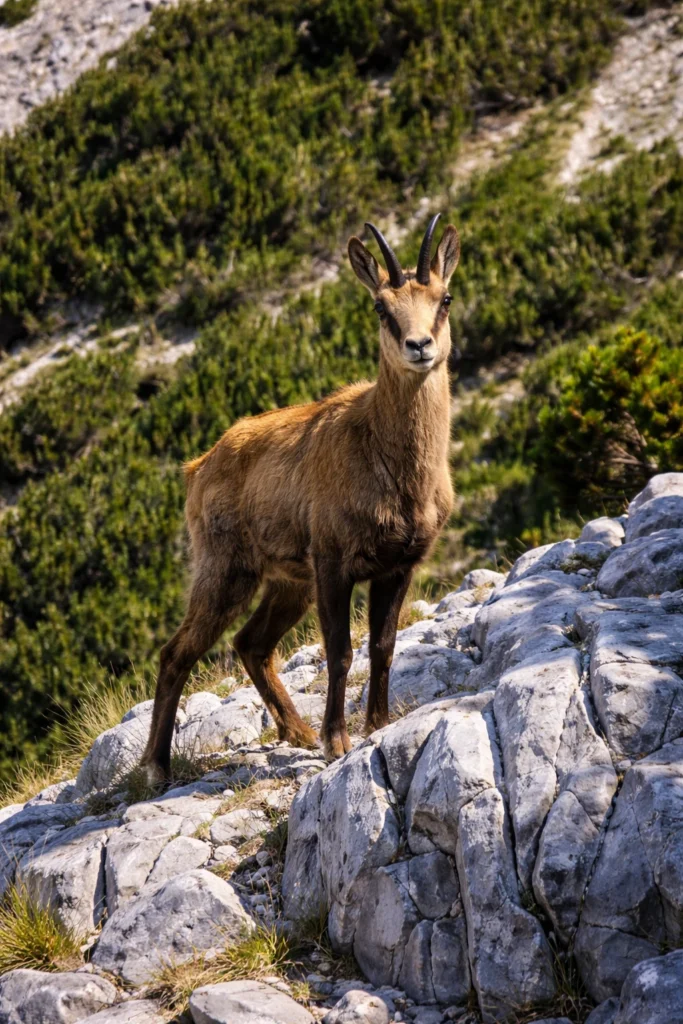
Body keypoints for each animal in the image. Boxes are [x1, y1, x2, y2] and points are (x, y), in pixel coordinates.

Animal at [141, 213, 460, 780]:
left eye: (444, 298)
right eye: (381, 307)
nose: (419, 345)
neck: (384, 456)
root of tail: (198, 467)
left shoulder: (400, 563)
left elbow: (384, 645)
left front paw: (376, 724)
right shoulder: (333, 561)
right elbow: (340, 650)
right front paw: (336, 740)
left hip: (288, 582)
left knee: (251, 643)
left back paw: (296, 731)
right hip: (226, 569)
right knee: (176, 652)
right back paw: (158, 766)